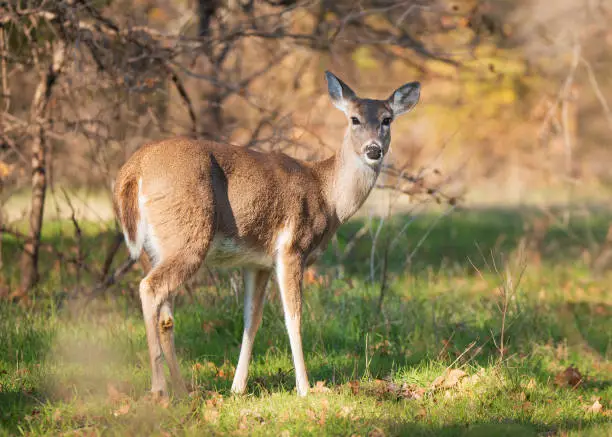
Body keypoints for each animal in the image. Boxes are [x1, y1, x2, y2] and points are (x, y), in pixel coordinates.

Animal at [113, 70, 420, 396]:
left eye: (387, 119)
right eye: (354, 119)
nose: (373, 150)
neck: (328, 195)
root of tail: (133, 171)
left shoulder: (256, 261)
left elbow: (252, 318)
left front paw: (237, 387)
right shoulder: (292, 247)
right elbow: (293, 317)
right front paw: (305, 388)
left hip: (150, 249)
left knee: (165, 312)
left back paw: (182, 391)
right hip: (187, 235)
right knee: (150, 289)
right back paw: (160, 390)